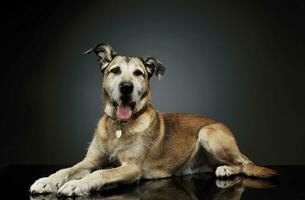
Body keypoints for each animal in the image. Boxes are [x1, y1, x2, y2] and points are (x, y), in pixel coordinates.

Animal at [29, 43, 276, 196]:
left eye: (139, 73)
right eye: (114, 70)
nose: (126, 88)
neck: (120, 127)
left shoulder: (131, 168)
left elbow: (101, 172)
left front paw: (77, 185)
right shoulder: (90, 161)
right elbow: (68, 169)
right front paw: (47, 180)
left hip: (208, 134)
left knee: (243, 163)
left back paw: (226, 170)